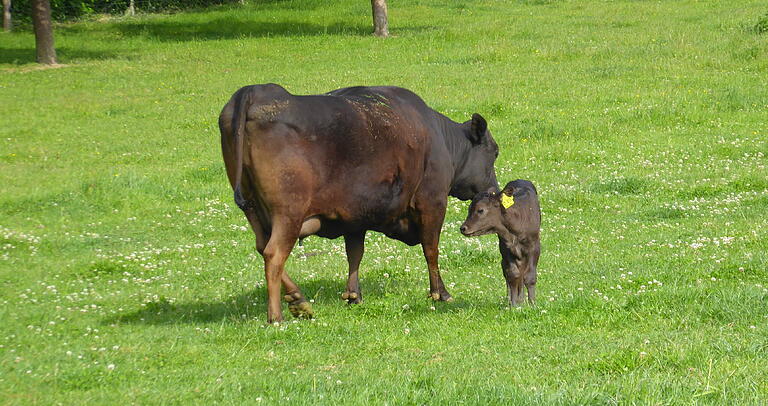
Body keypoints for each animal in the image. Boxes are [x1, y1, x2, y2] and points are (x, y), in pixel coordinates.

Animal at [219, 84, 500, 322]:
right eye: (494, 152)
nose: (495, 191)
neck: (440, 139)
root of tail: (256, 91)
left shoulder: (354, 217)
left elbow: (354, 253)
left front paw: (354, 295)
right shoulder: (432, 202)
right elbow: (431, 250)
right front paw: (440, 293)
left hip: (254, 209)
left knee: (262, 247)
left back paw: (299, 300)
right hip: (289, 213)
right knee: (274, 254)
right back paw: (276, 316)